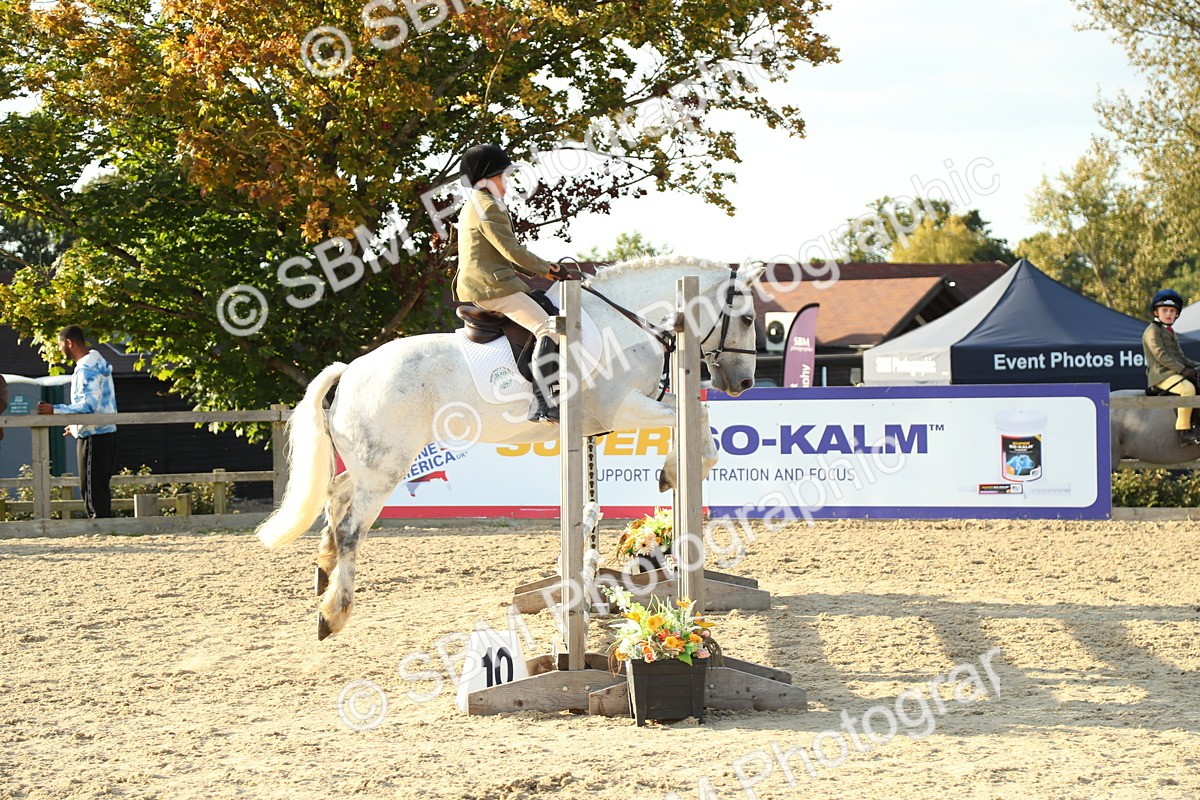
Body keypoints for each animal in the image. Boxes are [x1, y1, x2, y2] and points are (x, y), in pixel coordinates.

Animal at [255, 256, 768, 638]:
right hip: (386, 468)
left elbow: (694, 420)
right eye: (746, 318)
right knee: (350, 529)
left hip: (371, 463)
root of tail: (350, 370)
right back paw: (332, 614)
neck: (628, 324)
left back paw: (323, 573)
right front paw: (674, 470)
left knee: (335, 494)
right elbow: (697, 418)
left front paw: (673, 471)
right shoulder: (621, 409)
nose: (743, 383)